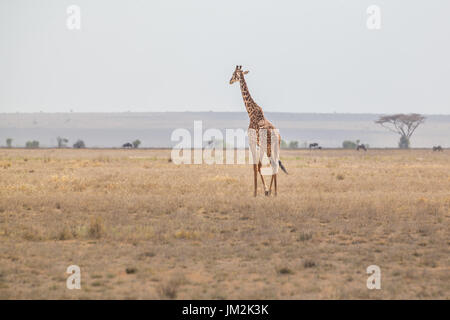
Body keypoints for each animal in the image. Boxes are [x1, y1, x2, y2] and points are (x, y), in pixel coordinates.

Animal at [229, 64, 288, 196]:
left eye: (234, 74)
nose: (229, 81)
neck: (251, 112)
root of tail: (278, 136)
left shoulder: (251, 142)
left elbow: (255, 166)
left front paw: (256, 192)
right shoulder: (258, 145)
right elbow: (258, 166)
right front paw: (263, 190)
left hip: (268, 147)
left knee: (272, 164)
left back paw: (271, 191)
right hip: (274, 147)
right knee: (274, 164)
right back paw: (274, 191)